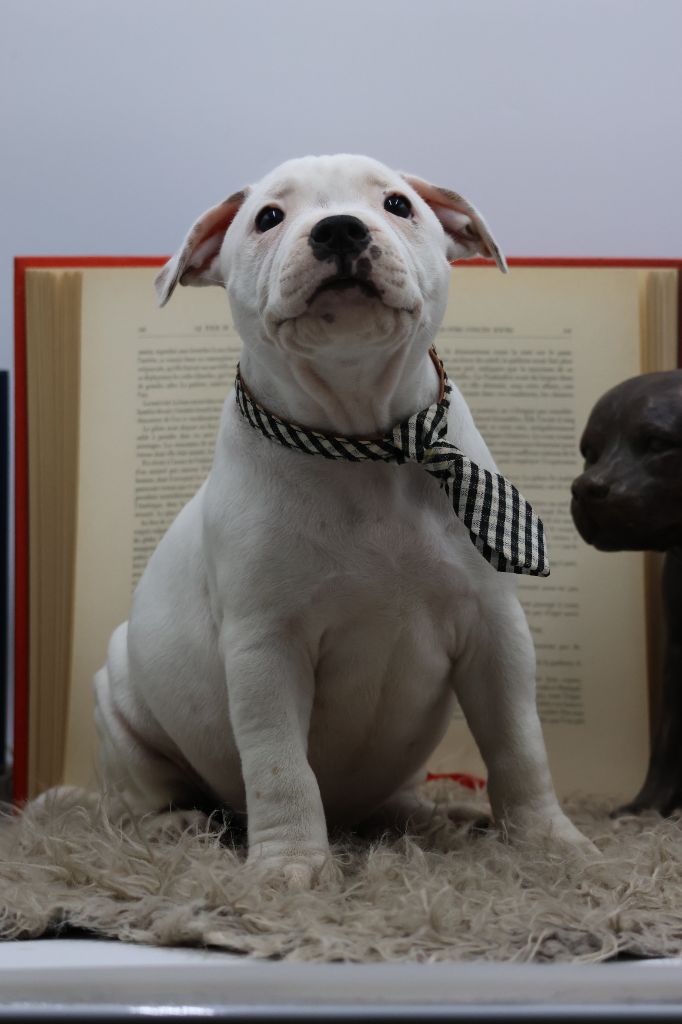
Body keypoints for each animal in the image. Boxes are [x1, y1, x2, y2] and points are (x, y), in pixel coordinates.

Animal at [94, 154, 590, 885]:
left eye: (397, 204)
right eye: (269, 218)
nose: (339, 230)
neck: (366, 439)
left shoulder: (495, 629)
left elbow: (518, 743)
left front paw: (547, 843)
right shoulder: (266, 647)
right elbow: (280, 767)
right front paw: (291, 868)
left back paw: (424, 816)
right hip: (120, 699)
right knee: (146, 790)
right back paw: (173, 826)